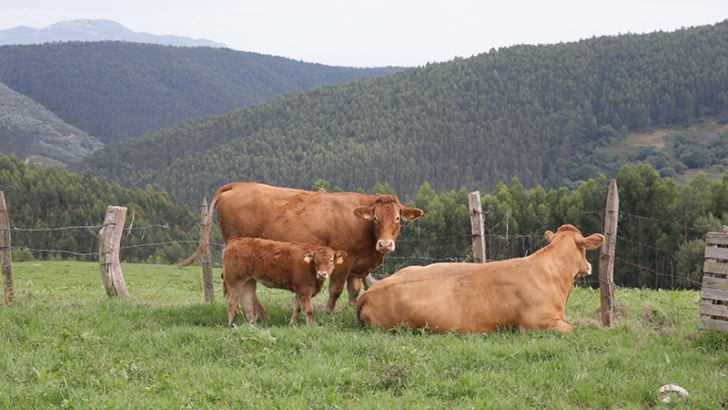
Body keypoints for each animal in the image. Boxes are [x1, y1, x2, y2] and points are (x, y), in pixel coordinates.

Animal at [179, 182, 423, 318]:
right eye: (375, 218)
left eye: (397, 218)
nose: (385, 244)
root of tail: (238, 185)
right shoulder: (344, 258)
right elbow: (335, 289)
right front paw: (329, 313)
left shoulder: (358, 265)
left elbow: (354, 291)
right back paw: (259, 314)